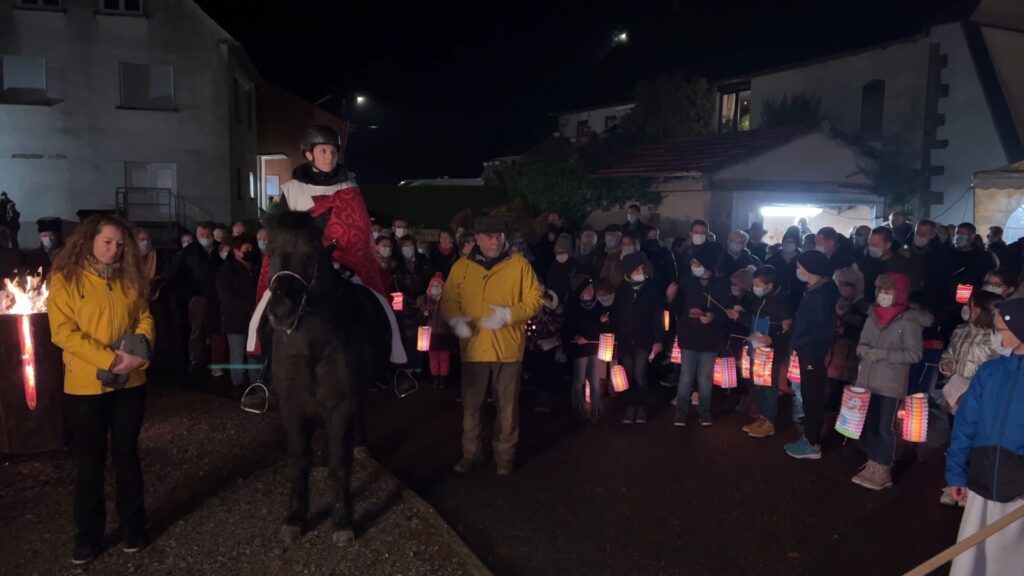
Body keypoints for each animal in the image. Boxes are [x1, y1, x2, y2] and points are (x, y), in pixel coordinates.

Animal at [264, 210, 391, 541]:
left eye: (310, 254)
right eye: (270, 251)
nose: (281, 312)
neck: (312, 342)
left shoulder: (341, 402)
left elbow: (340, 461)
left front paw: (343, 519)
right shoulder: (292, 403)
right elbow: (299, 458)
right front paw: (295, 516)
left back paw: (359, 445)